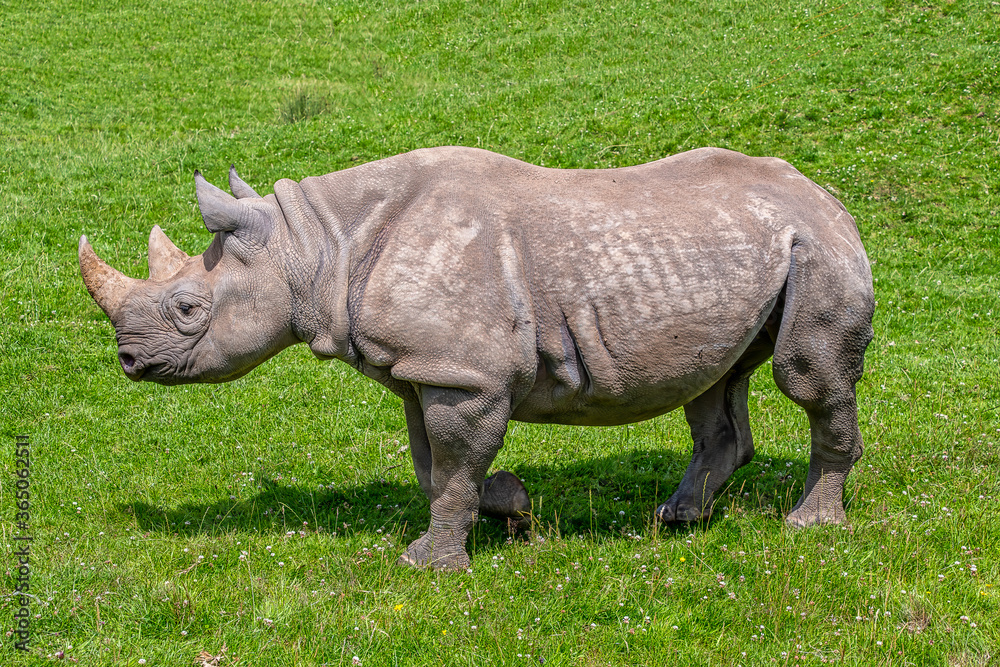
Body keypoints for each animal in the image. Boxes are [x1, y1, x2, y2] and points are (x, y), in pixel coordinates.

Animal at [80, 146, 874, 570]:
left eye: (188, 309)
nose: (127, 360)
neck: (314, 246)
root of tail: (831, 196)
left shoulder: (464, 374)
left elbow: (456, 462)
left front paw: (427, 565)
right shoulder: (422, 369)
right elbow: (434, 465)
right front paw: (514, 506)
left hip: (817, 248)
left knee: (805, 377)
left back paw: (809, 525)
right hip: (752, 251)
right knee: (715, 384)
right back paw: (677, 518)